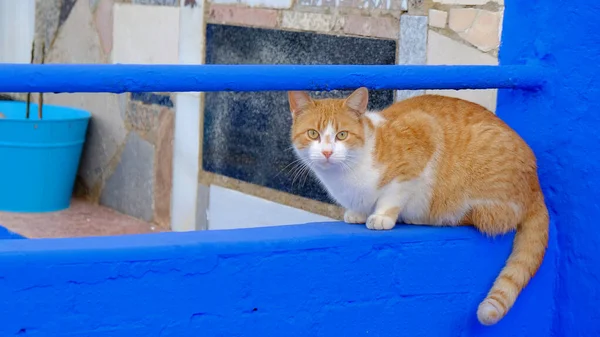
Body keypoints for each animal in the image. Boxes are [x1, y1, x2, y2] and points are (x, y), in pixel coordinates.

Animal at [290, 88, 548, 324]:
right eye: (313, 134)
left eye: (342, 135)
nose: (326, 152)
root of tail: (536, 187)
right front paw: (358, 213)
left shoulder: (421, 136)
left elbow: (394, 194)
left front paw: (382, 216)